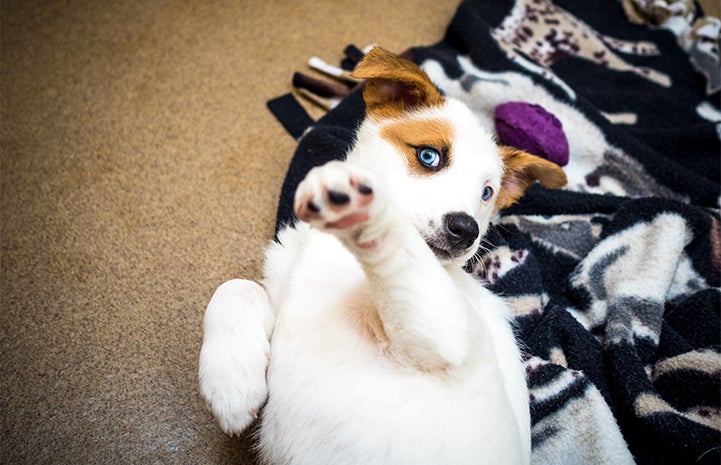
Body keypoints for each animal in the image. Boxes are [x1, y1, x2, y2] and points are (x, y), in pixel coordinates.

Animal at [200, 47, 564, 464]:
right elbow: (234, 288)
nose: (466, 229)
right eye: (429, 156)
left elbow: (397, 244)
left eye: (486, 193)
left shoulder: (446, 331)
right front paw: (231, 381)